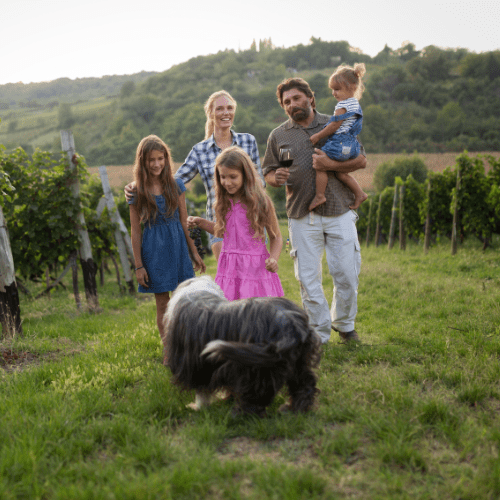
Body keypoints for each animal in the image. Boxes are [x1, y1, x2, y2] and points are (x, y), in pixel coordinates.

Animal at [164, 276, 320, 416]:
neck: (196, 292)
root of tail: (291, 325)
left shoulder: (196, 364)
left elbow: (201, 389)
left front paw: (197, 407)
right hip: (296, 360)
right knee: (304, 384)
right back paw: (294, 409)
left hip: (258, 366)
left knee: (258, 395)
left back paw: (239, 414)